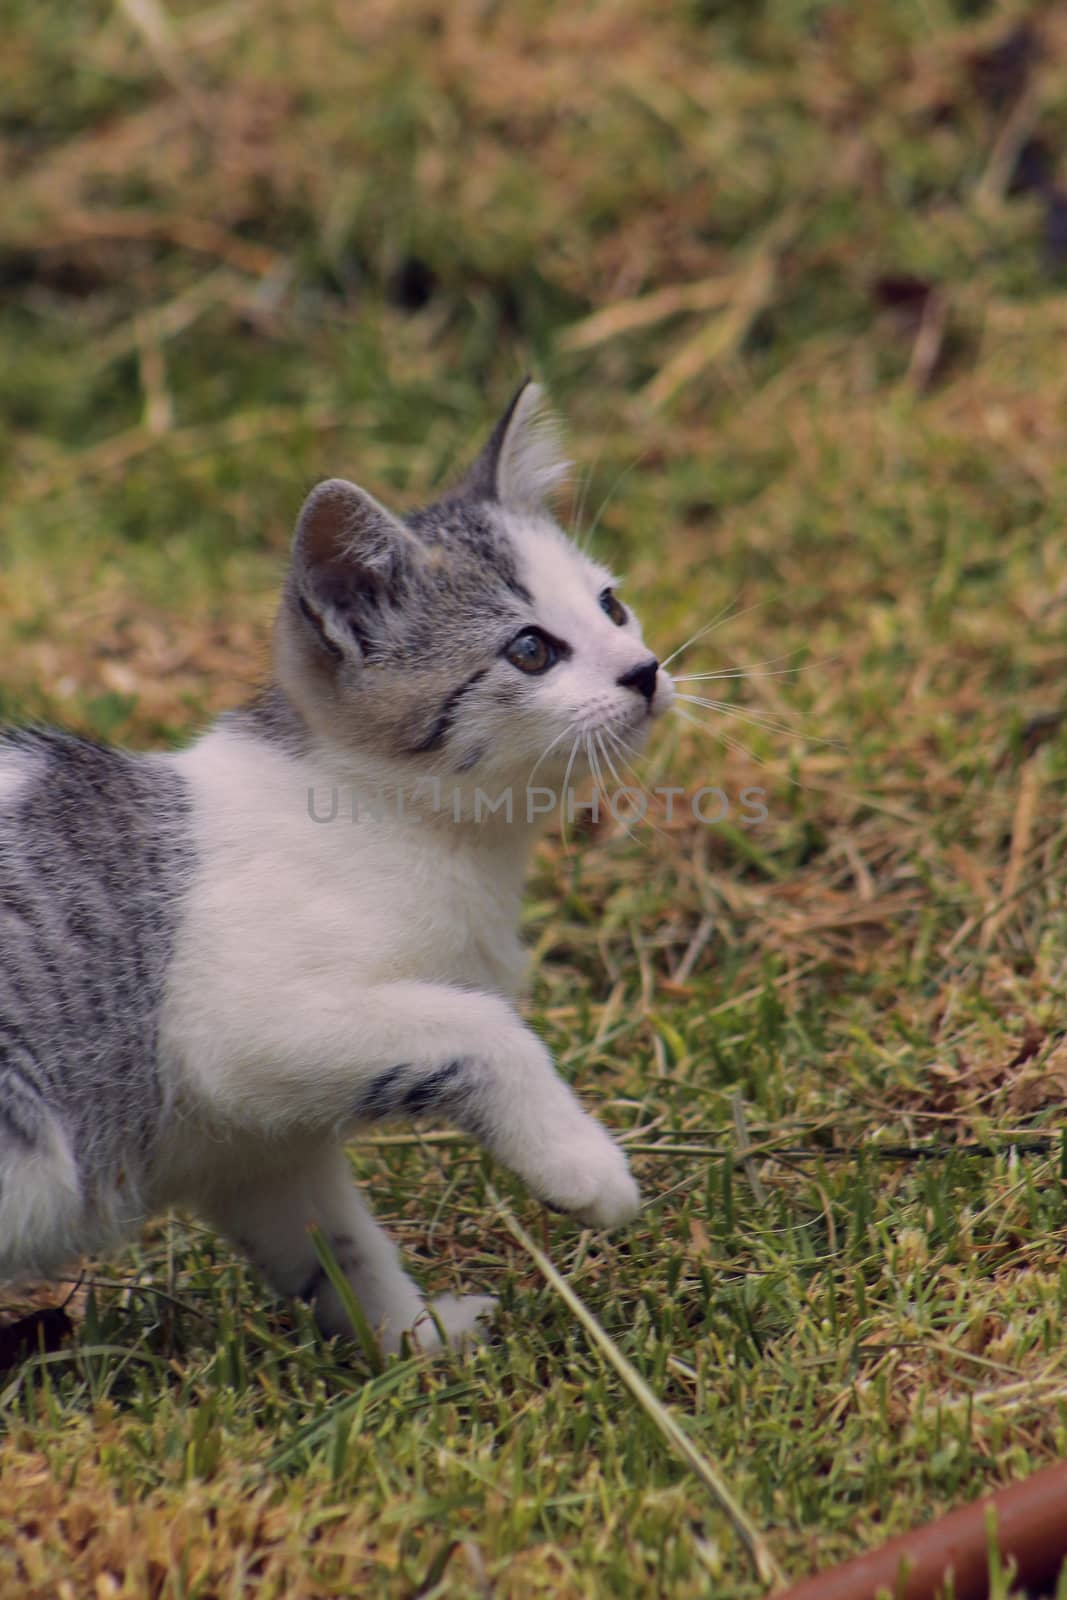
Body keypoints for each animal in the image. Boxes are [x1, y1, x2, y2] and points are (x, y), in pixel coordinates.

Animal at [0, 387, 671, 1350]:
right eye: (531, 650)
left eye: (611, 606)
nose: (645, 671)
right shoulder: (236, 1029)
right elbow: (483, 1028)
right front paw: (584, 1169)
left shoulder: (252, 1148)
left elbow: (335, 1247)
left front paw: (413, 1339)